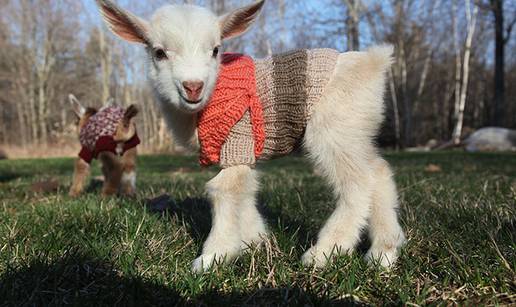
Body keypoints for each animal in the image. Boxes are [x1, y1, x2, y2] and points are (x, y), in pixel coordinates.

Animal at [94, 0, 406, 274]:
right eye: (159, 52)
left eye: (215, 50)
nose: (193, 86)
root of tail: (373, 62)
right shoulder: (237, 153)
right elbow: (244, 191)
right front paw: (254, 240)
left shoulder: (237, 139)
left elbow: (225, 190)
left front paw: (213, 257)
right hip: (355, 131)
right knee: (378, 172)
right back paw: (384, 253)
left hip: (333, 131)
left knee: (358, 182)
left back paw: (324, 253)